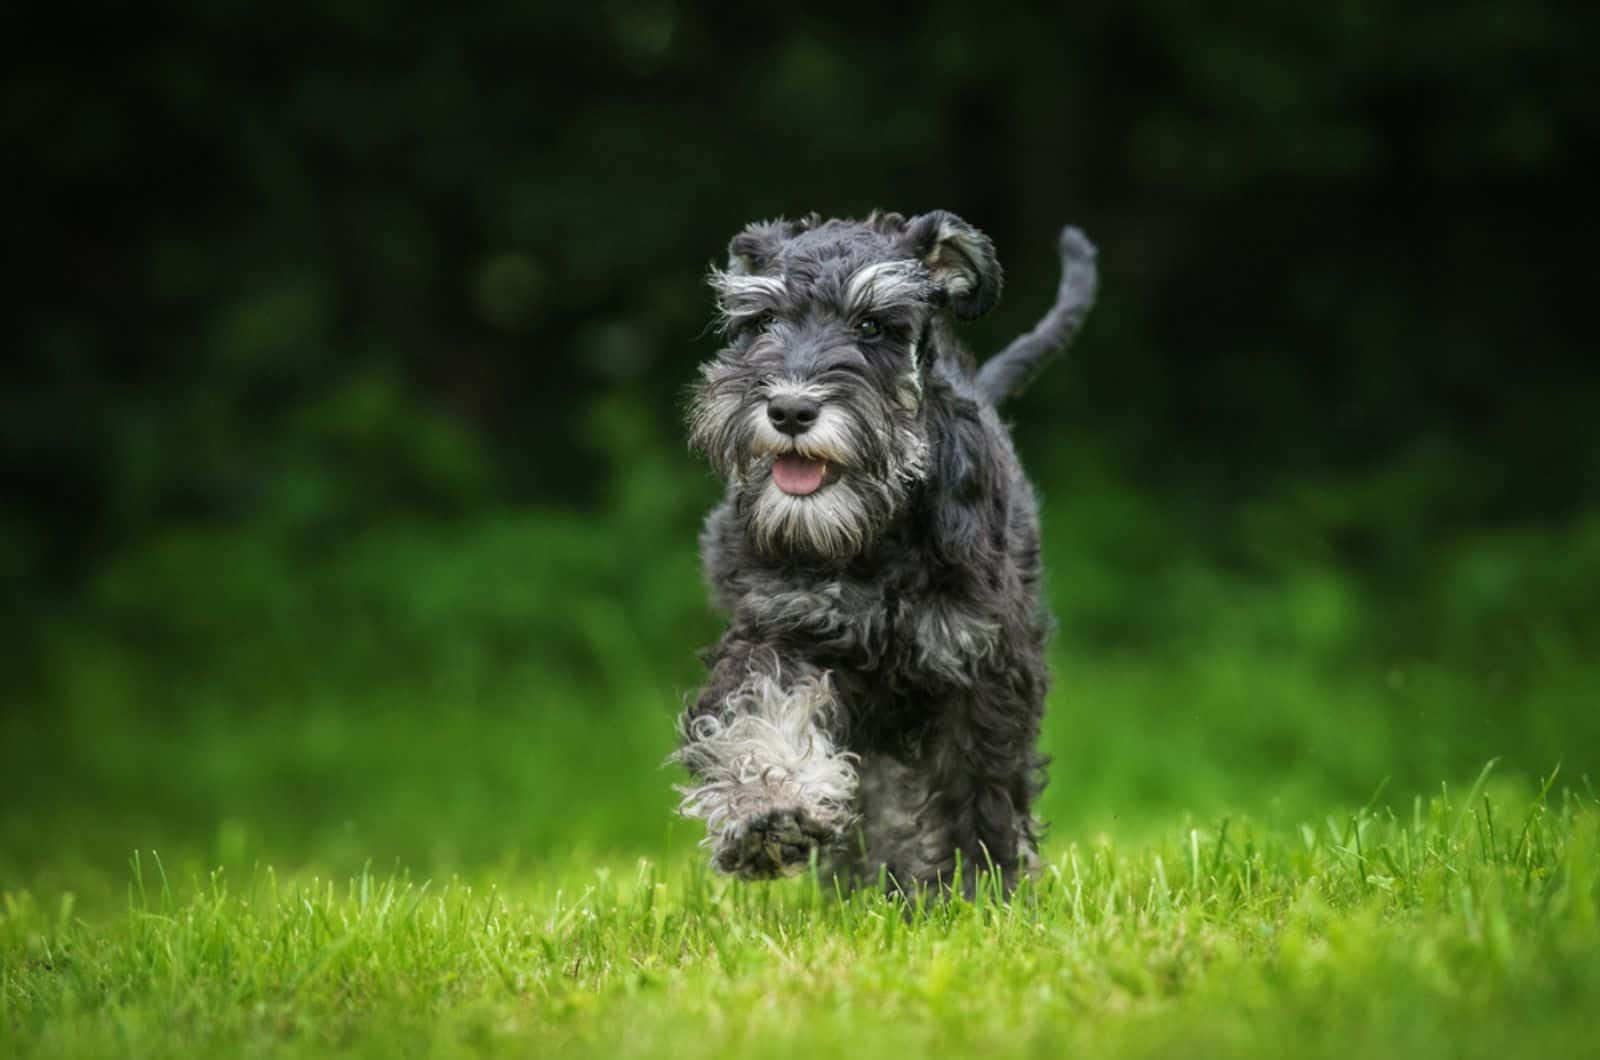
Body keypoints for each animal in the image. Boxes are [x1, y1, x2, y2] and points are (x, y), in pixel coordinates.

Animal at [668, 209, 1094, 896]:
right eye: (761, 321)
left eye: (873, 325)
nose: (790, 409)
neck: (874, 536)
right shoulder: (779, 629)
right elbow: (759, 712)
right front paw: (767, 814)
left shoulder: (981, 664)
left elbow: (981, 783)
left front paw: (981, 889)